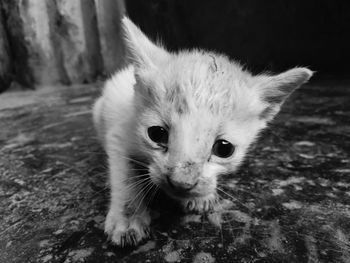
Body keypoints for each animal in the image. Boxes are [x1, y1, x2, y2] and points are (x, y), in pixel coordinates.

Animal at [91, 17, 314, 248]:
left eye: (224, 149)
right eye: (156, 134)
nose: (181, 183)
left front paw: (198, 196)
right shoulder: (119, 134)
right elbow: (124, 176)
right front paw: (127, 218)